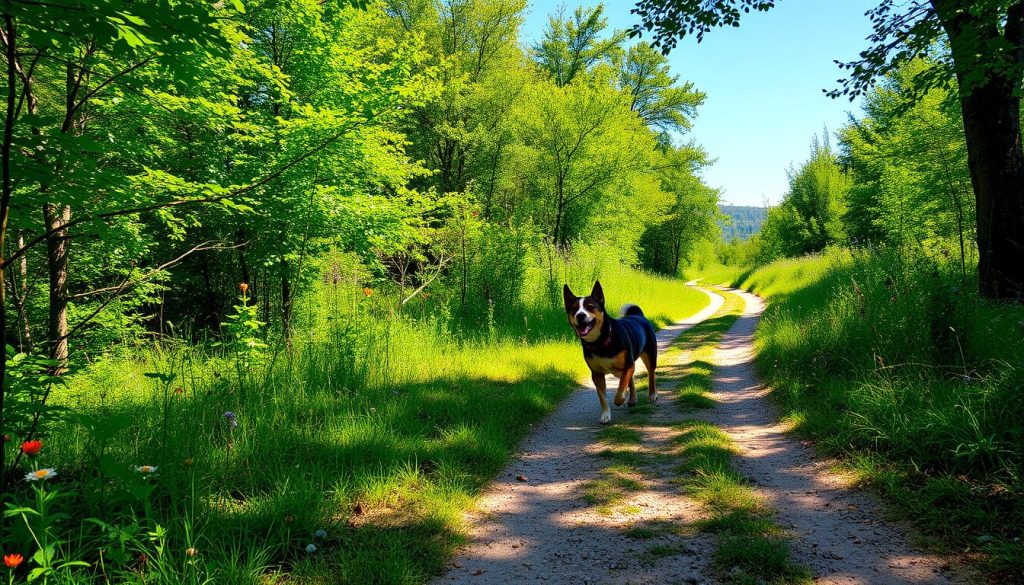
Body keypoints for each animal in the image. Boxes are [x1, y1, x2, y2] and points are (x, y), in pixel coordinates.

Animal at [565, 280, 659, 424]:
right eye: (574, 309)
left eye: (590, 307)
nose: (580, 315)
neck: (600, 341)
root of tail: (637, 314)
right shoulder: (596, 374)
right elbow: (602, 397)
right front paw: (605, 414)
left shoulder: (627, 365)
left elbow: (620, 389)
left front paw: (620, 399)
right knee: (631, 378)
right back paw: (632, 398)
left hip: (650, 355)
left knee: (651, 374)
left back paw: (652, 394)